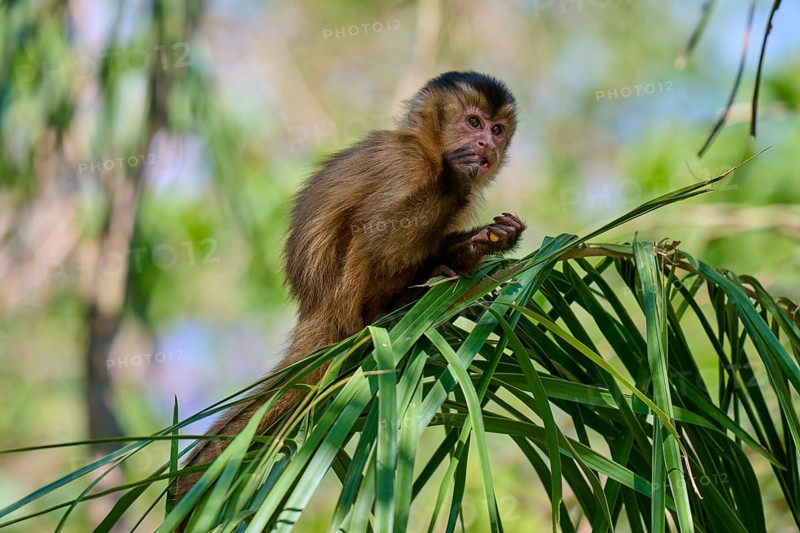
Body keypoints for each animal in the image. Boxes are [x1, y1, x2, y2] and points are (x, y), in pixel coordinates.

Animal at [174, 71, 524, 505]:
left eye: (497, 129)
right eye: (474, 123)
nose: (486, 145)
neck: (429, 148)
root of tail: (316, 308)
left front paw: (492, 240)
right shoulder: (406, 166)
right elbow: (380, 236)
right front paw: (454, 181)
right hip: (345, 296)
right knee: (367, 239)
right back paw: (391, 304)